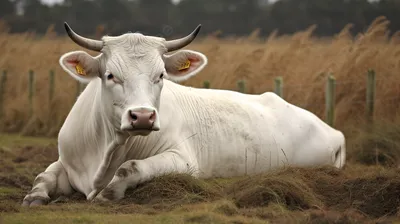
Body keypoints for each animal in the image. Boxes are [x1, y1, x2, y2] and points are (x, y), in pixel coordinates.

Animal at [21, 21, 346, 206]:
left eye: (161, 75)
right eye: (111, 75)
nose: (142, 116)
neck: (104, 153)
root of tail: (333, 131)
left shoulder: (184, 160)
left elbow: (131, 167)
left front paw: (108, 194)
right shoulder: (67, 160)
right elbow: (43, 175)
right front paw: (34, 197)